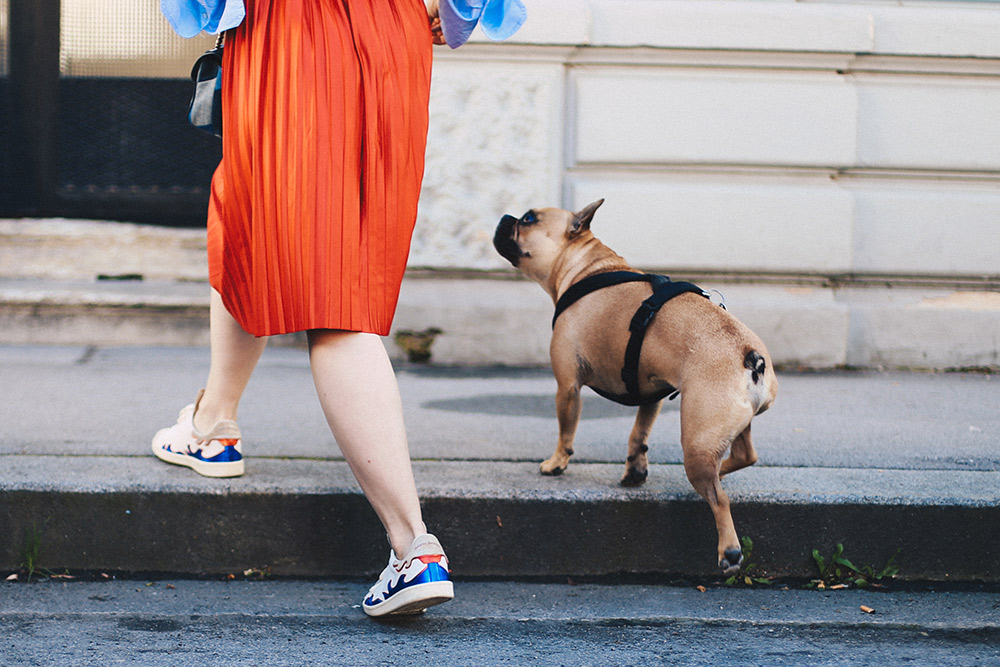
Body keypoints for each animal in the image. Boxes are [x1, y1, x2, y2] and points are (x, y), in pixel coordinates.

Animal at [492, 198, 772, 576]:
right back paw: (723, 469)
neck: (587, 267)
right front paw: (634, 471)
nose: (505, 217)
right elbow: (639, 433)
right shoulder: (651, 390)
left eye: (528, 219)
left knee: (719, 498)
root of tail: (750, 357)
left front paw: (556, 463)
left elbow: (566, 430)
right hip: (731, 426)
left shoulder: (567, 386)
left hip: (697, 439)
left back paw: (729, 551)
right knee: (744, 455)